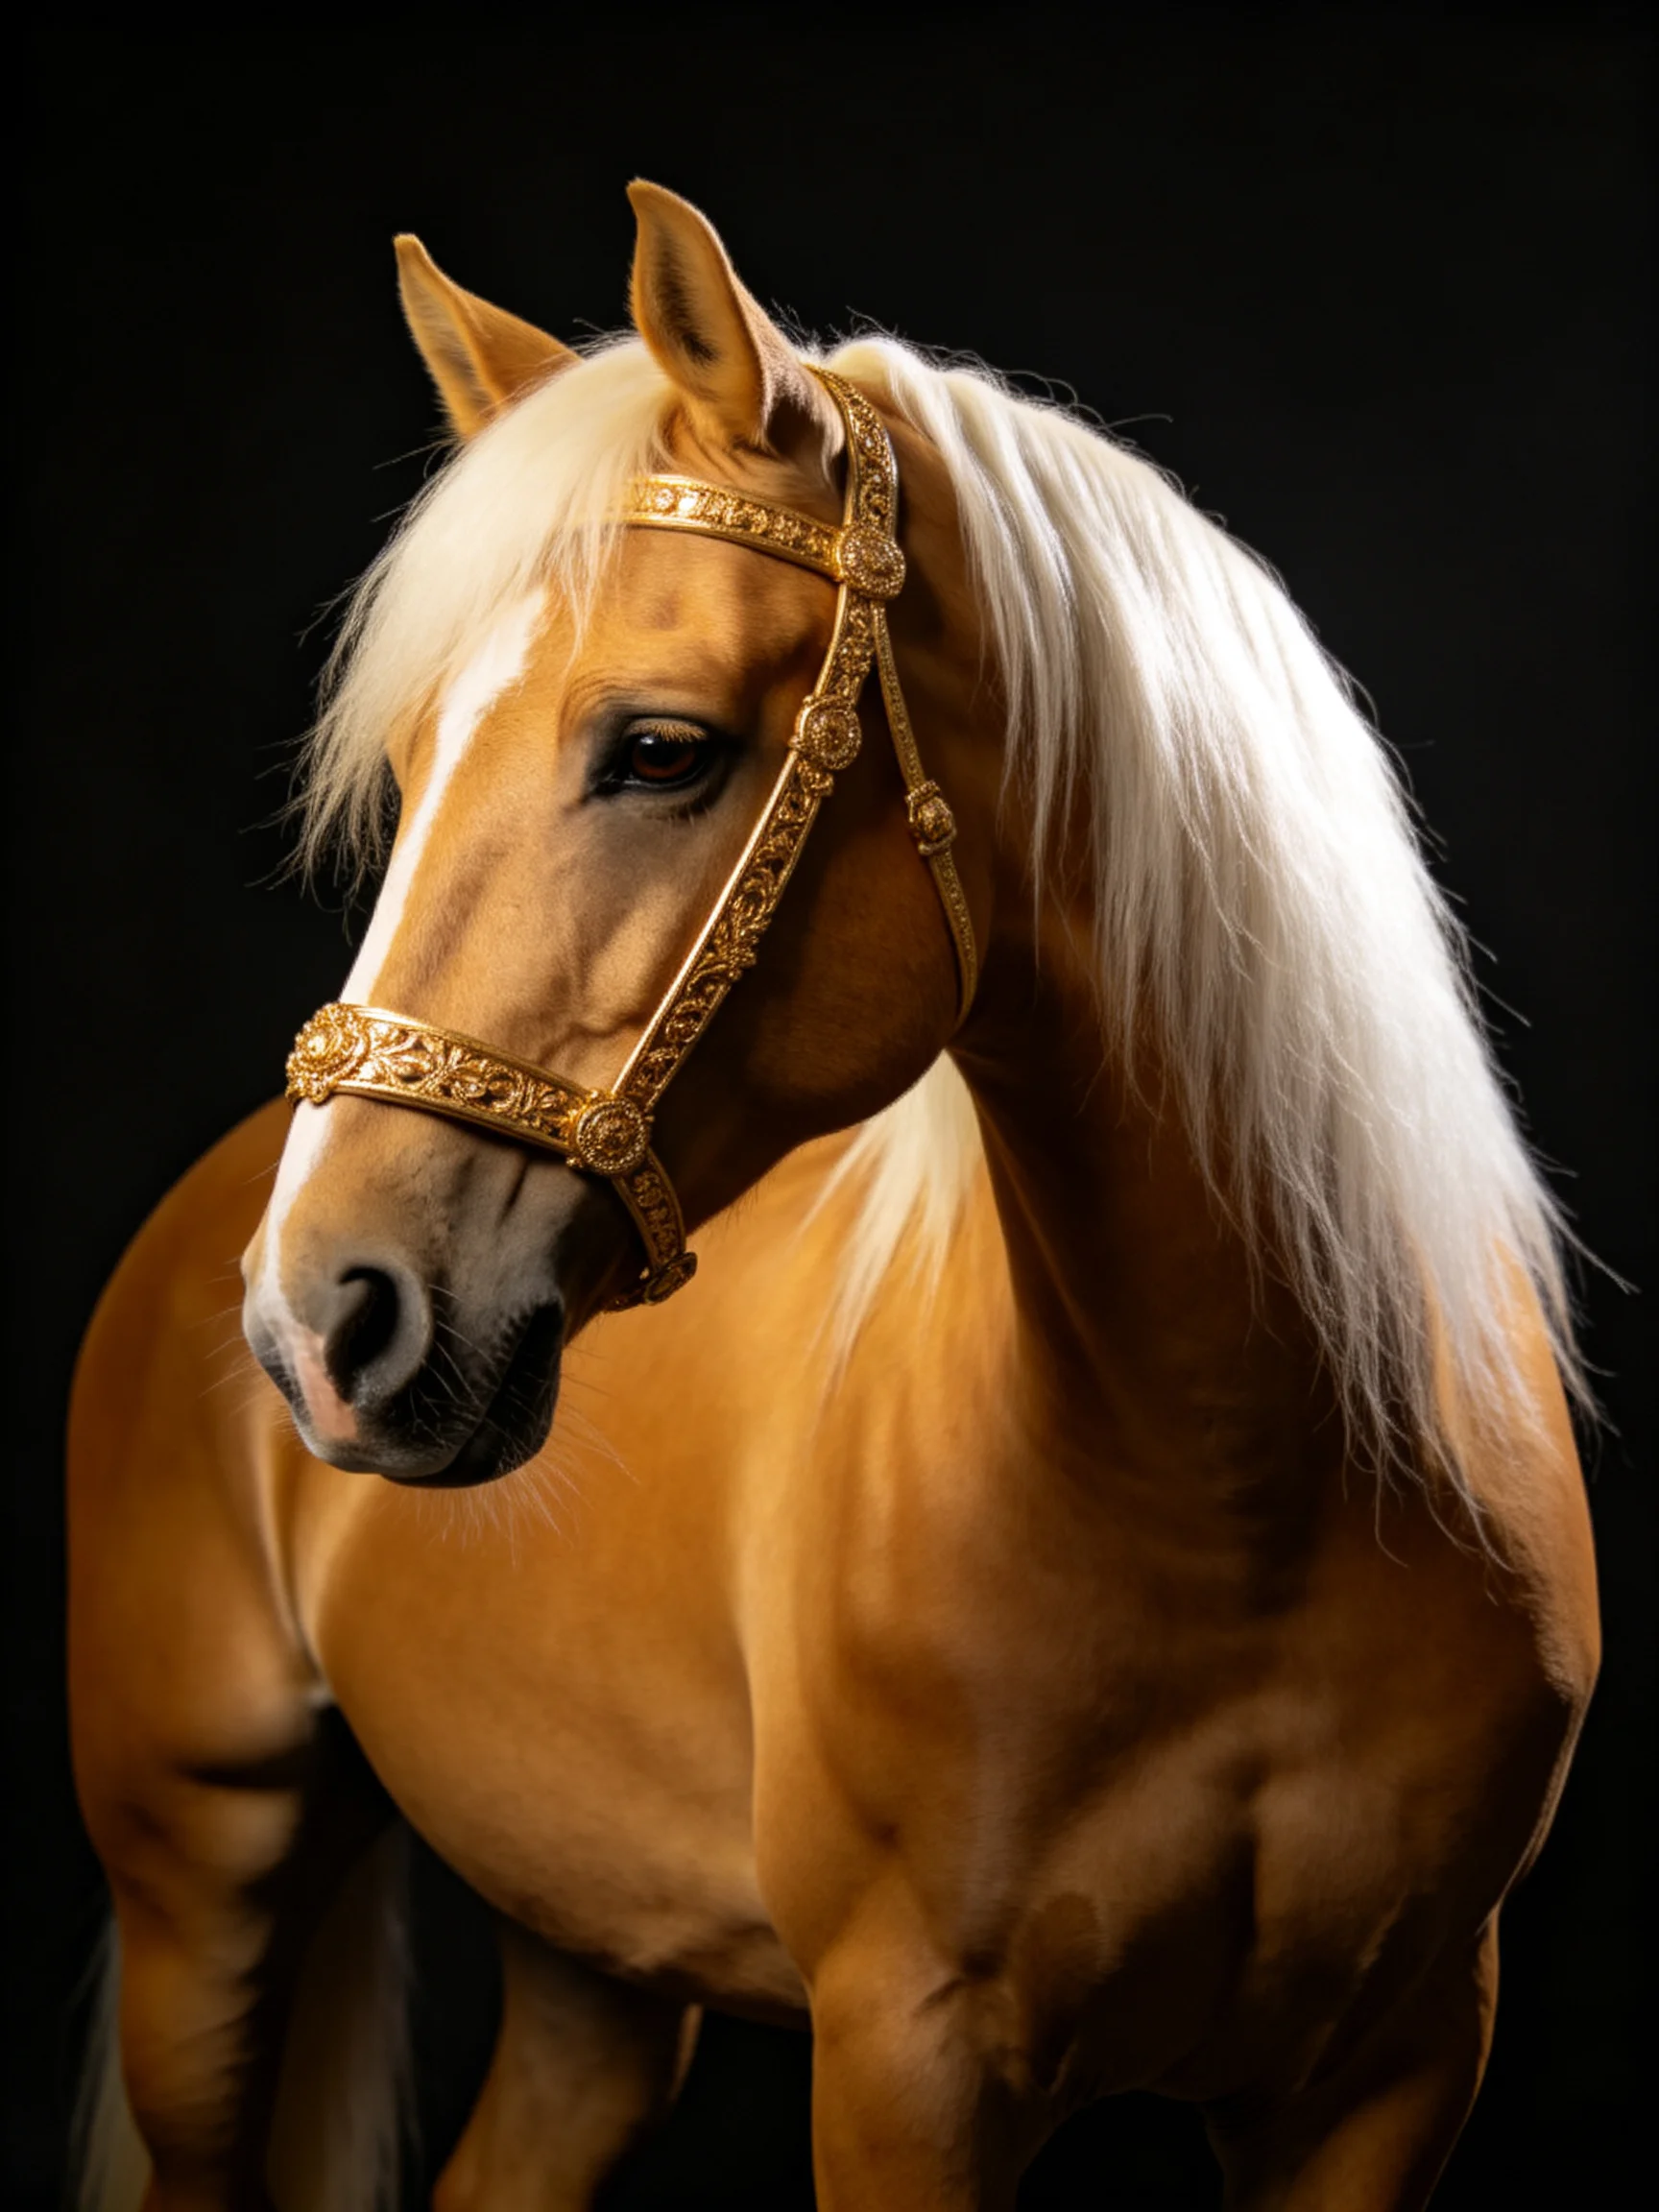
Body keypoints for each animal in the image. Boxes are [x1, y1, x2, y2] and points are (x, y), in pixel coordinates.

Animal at [68, 181, 1599, 2212]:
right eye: (405, 765)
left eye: (659, 746)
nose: (322, 1319)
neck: (1239, 1499)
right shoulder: (906, 2059)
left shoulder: (1391, 2069)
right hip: (203, 1887)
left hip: (589, 1954)